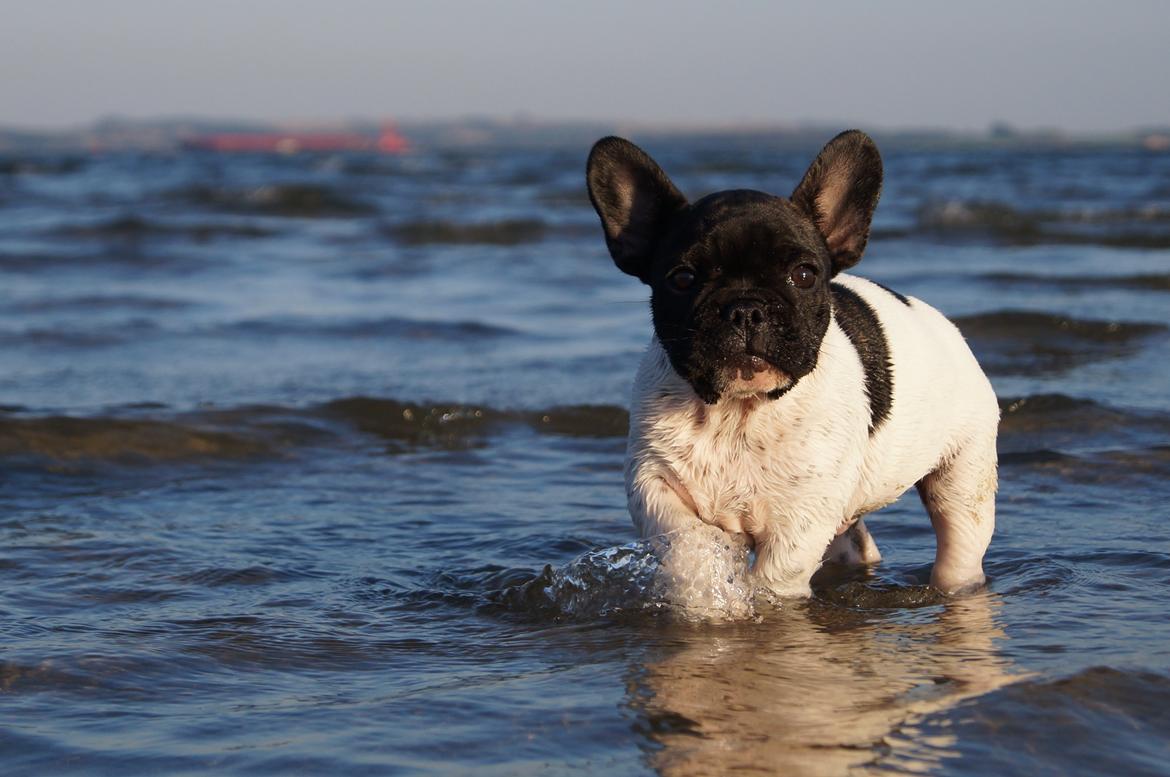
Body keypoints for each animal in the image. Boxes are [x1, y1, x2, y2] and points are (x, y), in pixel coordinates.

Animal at [585, 130, 996, 596]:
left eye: (803, 275)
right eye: (683, 279)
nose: (746, 309)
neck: (739, 411)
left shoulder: (802, 518)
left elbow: (774, 577)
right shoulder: (654, 480)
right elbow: (686, 543)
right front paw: (707, 589)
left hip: (963, 476)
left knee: (959, 541)